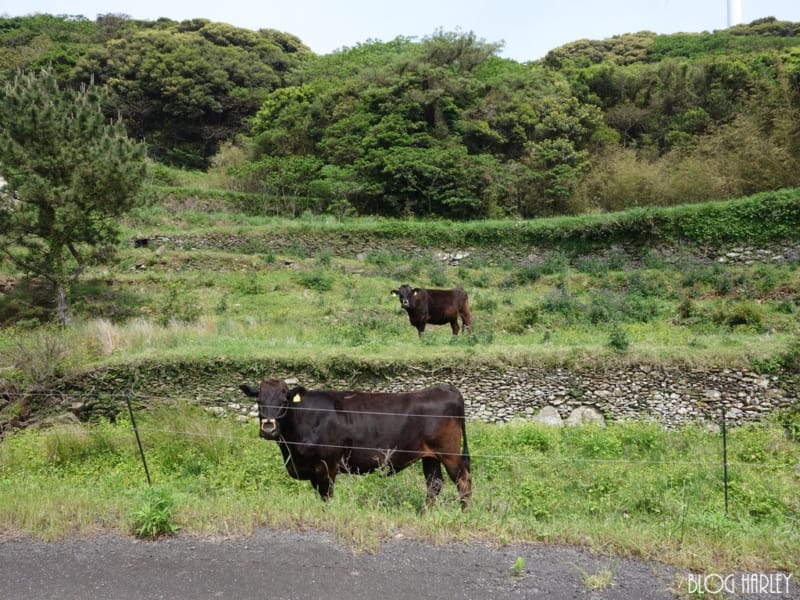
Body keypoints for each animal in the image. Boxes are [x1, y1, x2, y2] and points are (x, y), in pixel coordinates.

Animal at [241, 380, 472, 506]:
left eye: (283, 401)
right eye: (259, 401)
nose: (268, 428)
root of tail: (445, 388)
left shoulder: (327, 465)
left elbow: (326, 496)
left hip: (449, 453)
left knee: (463, 481)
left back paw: (464, 514)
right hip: (429, 456)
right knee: (434, 484)